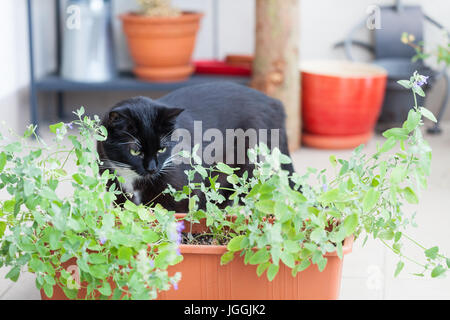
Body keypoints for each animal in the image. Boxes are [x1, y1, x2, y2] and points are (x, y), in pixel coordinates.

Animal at [98, 81, 294, 211]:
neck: (132, 178)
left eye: (162, 148)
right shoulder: (117, 191)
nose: (152, 168)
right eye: (135, 151)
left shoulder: (182, 193)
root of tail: (275, 103)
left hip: (251, 167)